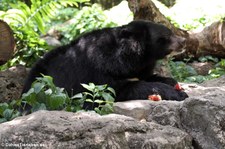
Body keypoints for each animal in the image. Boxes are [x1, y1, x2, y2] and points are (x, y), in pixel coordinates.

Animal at [22, 19, 188, 108]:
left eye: (171, 32)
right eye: (167, 35)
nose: (183, 41)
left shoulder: (140, 67)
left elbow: (146, 76)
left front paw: (171, 81)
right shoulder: (98, 68)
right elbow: (115, 89)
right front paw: (178, 93)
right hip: (41, 86)